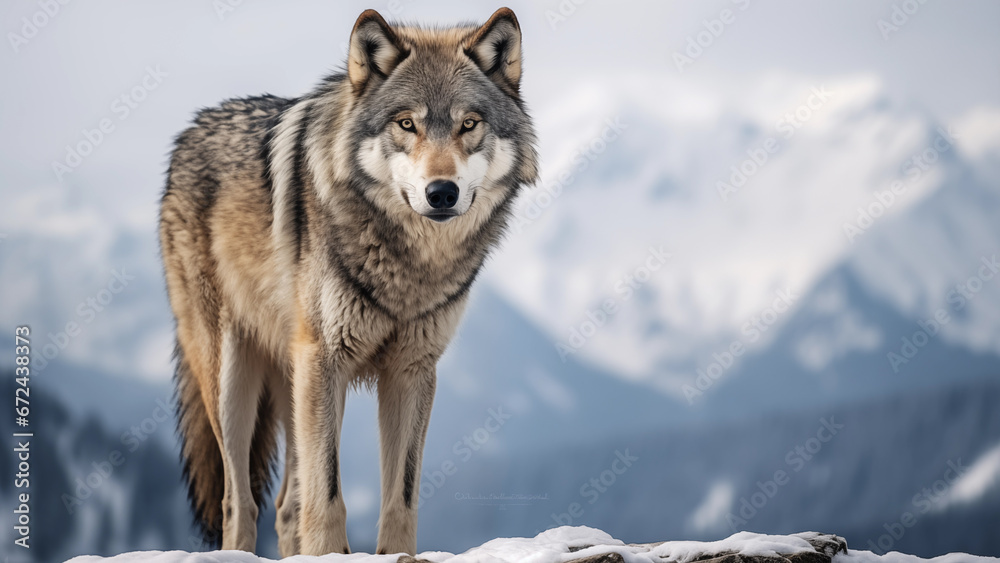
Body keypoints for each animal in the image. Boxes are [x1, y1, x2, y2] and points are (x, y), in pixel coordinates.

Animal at [158, 7, 537, 556]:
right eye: (407, 124)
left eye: (469, 124)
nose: (441, 192)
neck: (409, 265)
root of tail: (192, 127)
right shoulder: (326, 357)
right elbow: (329, 491)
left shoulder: (412, 369)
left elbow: (401, 494)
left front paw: (398, 556)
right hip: (234, 378)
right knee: (239, 500)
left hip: (293, 382)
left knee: (285, 505)